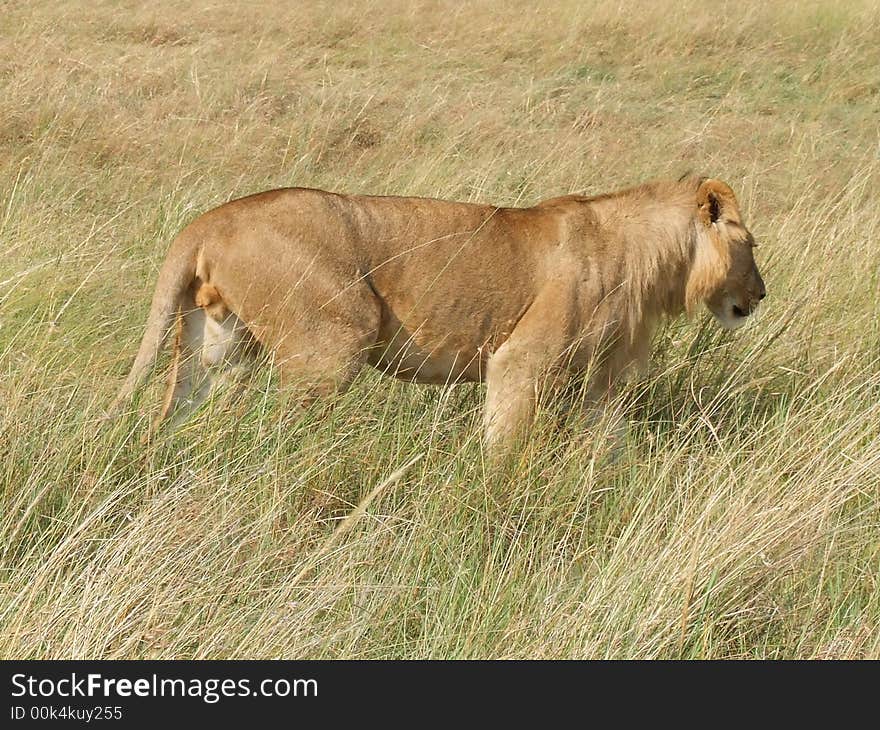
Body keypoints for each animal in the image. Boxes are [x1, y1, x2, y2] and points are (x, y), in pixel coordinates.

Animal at [115, 176, 764, 450]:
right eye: (751, 245)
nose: (761, 296)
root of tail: (210, 219)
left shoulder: (599, 382)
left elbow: (613, 444)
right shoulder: (519, 361)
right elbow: (504, 443)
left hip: (216, 342)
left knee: (172, 416)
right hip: (333, 341)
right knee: (275, 430)